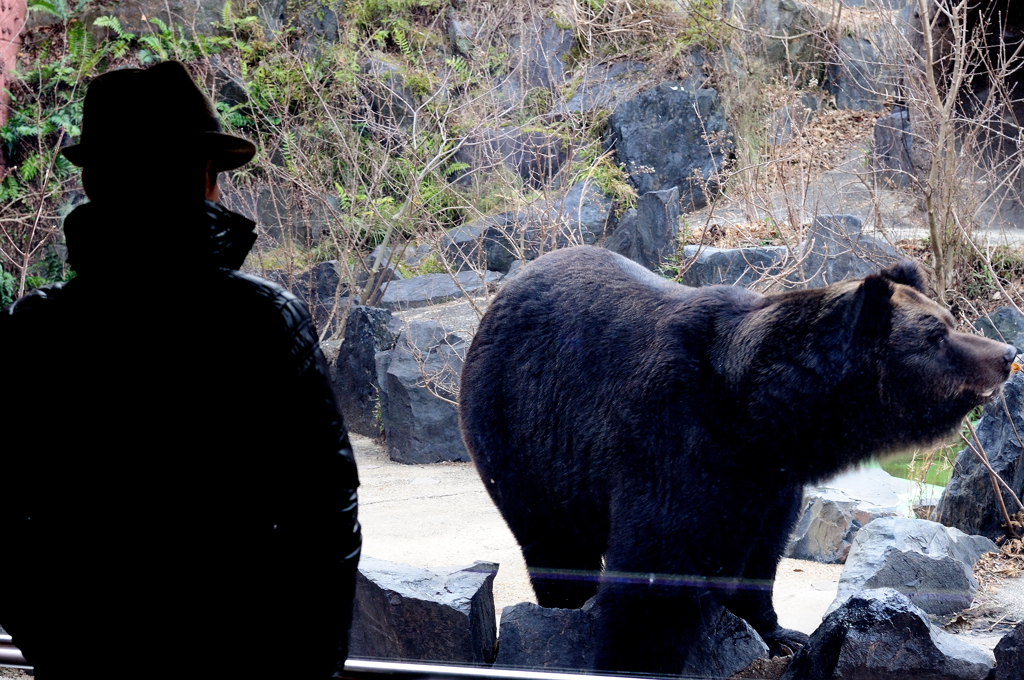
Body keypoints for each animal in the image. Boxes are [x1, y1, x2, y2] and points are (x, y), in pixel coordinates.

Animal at [458, 245, 1015, 675]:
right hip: (521, 433)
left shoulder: (766, 480)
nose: (1006, 352)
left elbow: (758, 554)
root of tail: (501, 296)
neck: (760, 417)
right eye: (937, 336)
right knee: (554, 540)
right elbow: (655, 573)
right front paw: (640, 657)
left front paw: (779, 632)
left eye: (950, 321)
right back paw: (565, 608)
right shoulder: (671, 440)